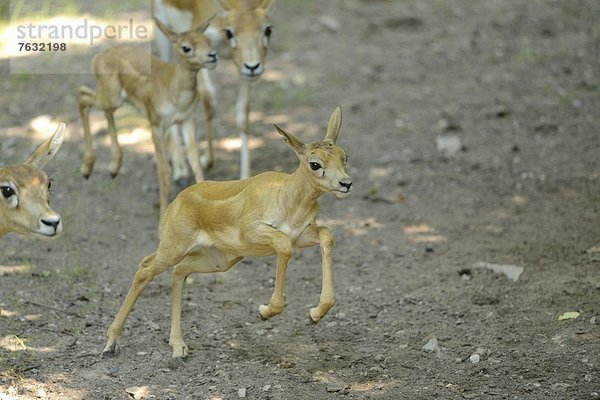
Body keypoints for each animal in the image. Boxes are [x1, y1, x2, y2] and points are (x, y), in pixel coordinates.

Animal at [79, 17, 218, 217]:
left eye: (208, 40)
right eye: (186, 47)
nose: (212, 56)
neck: (174, 92)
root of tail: (98, 57)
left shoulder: (187, 120)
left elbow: (195, 162)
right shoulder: (156, 124)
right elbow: (163, 171)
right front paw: (162, 218)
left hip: (115, 99)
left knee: (100, 107)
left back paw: (113, 168)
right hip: (110, 97)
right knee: (82, 96)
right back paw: (86, 169)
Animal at [102, 107, 352, 360]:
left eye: (344, 157)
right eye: (315, 164)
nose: (346, 183)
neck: (287, 198)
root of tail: (176, 202)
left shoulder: (301, 236)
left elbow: (326, 235)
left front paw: (315, 314)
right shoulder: (253, 231)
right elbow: (283, 245)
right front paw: (265, 311)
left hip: (219, 260)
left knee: (179, 271)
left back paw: (178, 346)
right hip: (174, 247)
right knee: (145, 268)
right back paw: (111, 342)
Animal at [155, 0, 276, 180]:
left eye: (267, 30)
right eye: (230, 32)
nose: (253, 66)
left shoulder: (242, 69)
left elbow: (243, 115)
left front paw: (245, 177)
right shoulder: (203, 55)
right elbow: (209, 100)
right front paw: (207, 161)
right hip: (164, 34)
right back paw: (180, 170)